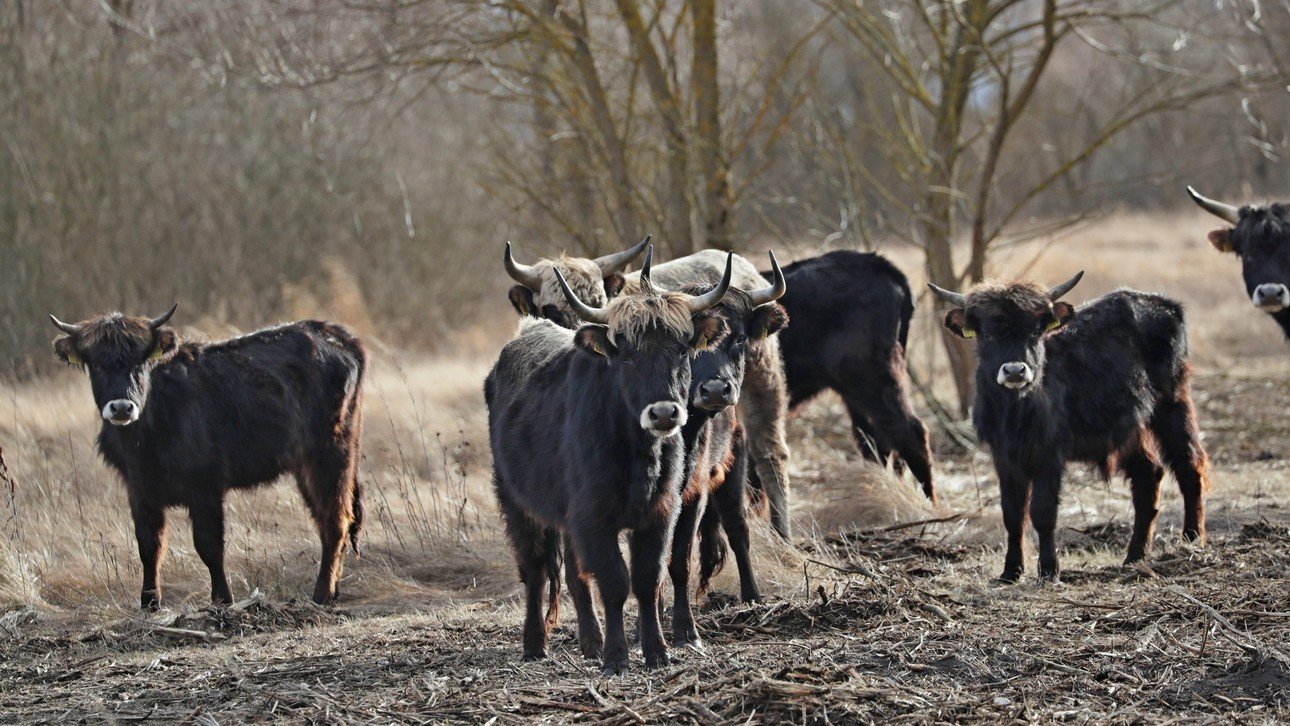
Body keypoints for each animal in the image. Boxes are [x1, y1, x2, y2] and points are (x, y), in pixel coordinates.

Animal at [50, 309, 363, 611]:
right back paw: (332, 590)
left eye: (140, 362)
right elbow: (149, 546)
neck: (144, 437)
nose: (122, 407)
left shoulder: (205, 486)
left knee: (336, 519)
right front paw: (149, 602)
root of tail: (332, 333)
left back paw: (321, 594)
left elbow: (209, 544)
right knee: (326, 517)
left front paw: (222, 599)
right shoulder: (139, 490)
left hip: (331, 453)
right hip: (305, 464)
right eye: (97, 365)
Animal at [485, 248, 732, 675]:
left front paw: (657, 651)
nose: (664, 412)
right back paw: (536, 644)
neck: (637, 454)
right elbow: (614, 582)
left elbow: (648, 578)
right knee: (535, 569)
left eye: (683, 348)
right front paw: (616, 657)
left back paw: (589, 640)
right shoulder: (593, 517)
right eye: (627, 354)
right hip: (516, 503)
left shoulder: (660, 513)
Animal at [928, 274, 1207, 585]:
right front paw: (1010, 571)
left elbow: (1042, 512)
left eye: (1035, 331)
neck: (1015, 411)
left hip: (1173, 404)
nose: (1014, 371)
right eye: (987, 334)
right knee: (1149, 474)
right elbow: (1012, 514)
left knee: (1188, 464)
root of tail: (1165, 305)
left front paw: (1049, 570)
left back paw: (1191, 539)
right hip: (1130, 428)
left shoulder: (1049, 457)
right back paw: (1134, 556)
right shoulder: (1004, 457)